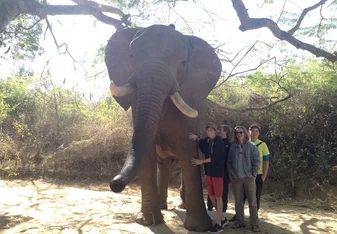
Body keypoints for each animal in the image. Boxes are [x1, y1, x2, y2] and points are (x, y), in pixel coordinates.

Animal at [105, 24, 220, 231]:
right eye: (131, 56)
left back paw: (181, 205)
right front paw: (147, 221)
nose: (115, 185)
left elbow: (188, 151)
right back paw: (162, 207)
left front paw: (199, 227)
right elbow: (147, 155)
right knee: (164, 164)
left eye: (183, 62)